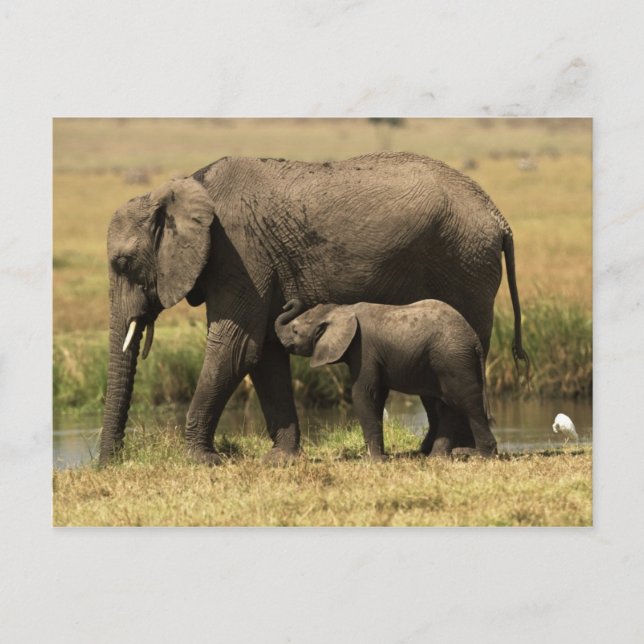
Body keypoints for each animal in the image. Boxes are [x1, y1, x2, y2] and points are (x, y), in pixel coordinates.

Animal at [274, 298, 496, 459]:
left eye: (295, 330)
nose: (287, 304)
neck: (341, 310)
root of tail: (474, 339)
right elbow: (377, 395)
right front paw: (380, 457)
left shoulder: (363, 348)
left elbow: (363, 393)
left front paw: (373, 460)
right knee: (447, 405)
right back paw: (437, 458)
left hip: (454, 359)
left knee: (467, 402)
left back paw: (482, 456)